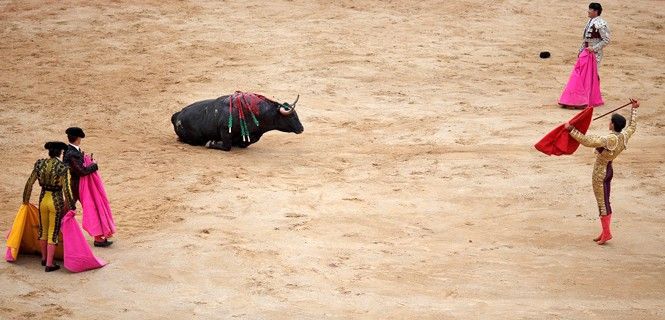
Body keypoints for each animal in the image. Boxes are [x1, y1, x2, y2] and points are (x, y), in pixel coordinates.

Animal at [172, 91, 304, 151]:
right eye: (292, 117)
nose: (302, 128)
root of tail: (177, 116)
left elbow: (243, 143)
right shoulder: (225, 130)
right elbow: (227, 146)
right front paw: (211, 143)